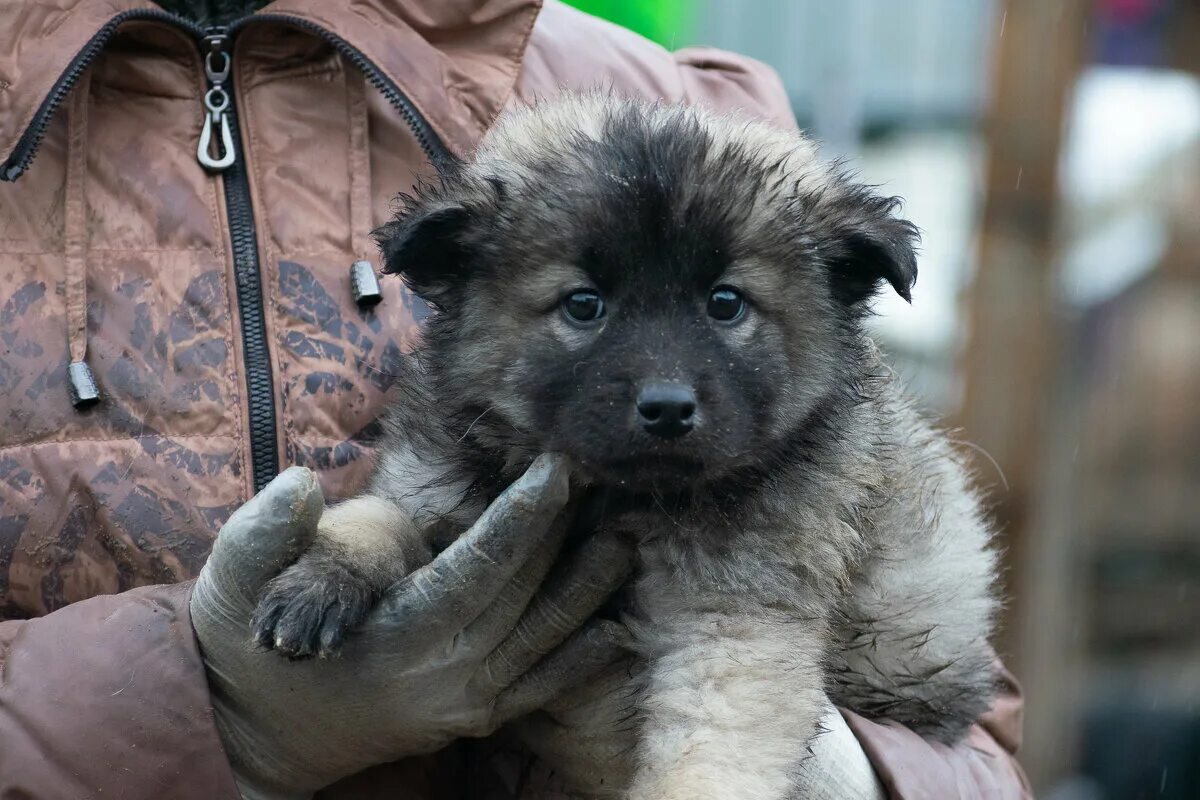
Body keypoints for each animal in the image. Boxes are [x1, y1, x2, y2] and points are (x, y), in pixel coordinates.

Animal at [255, 95, 1003, 800]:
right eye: (583, 304)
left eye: (726, 302)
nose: (667, 408)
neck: (618, 499)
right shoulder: (441, 485)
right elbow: (382, 514)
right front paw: (323, 575)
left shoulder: (735, 619)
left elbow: (712, 749)